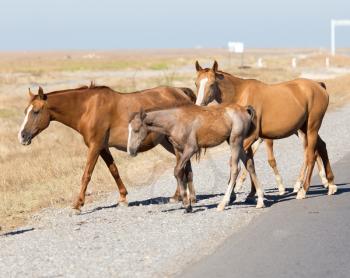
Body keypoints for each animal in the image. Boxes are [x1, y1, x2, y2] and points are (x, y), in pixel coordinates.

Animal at [18, 83, 197, 212]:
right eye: (25, 111)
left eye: (36, 111)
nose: (22, 136)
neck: (87, 108)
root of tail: (180, 92)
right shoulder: (103, 148)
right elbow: (114, 171)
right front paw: (123, 198)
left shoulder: (95, 146)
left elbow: (86, 175)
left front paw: (78, 204)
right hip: (167, 142)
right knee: (184, 163)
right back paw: (187, 196)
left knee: (181, 163)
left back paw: (180, 196)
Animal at [126, 103, 262, 212]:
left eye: (136, 130)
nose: (130, 151)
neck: (174, 122)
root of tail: (244, 109)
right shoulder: (179, 150)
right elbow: (183, 173)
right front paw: (188, 204)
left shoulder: (191, 149)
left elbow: (177, 171)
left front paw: (187, 204)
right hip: (236, 143)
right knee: (249, 164)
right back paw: (260, 201)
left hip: (235, 141)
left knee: (235, 168)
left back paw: (223, 204)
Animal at [194, 60, 336, 200]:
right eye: (196, 83)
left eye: (212, 84)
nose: (199, 106)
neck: (241, 94)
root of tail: (319, 86)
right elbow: (250, 162)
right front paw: (252, 192)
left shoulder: (250, 139)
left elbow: (237, 161)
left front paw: (232, 193)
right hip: (305, 129)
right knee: (321, 147)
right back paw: (331, 184)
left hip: (312, 128)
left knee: (311, 155)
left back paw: (303, 189)